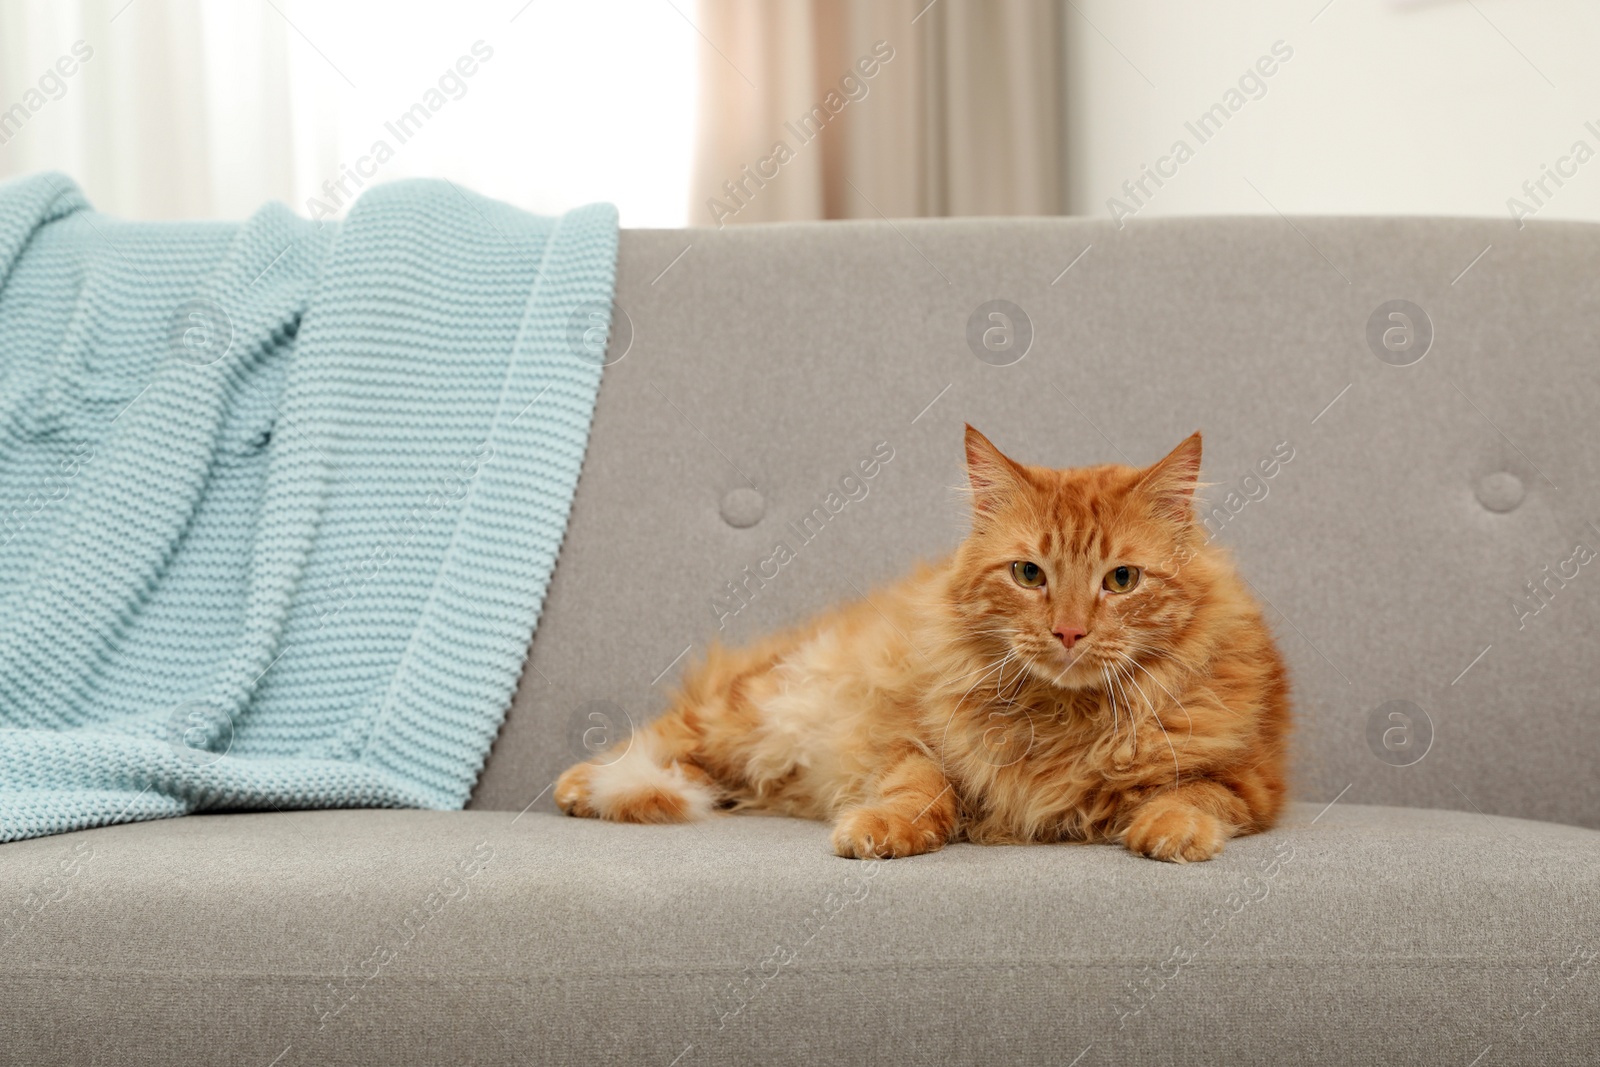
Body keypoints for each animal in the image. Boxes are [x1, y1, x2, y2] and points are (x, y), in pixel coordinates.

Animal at [556, 425, 1292, 857]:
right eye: (1029, 574)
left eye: (1122, 580)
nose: (1069, 630)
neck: (1063, 718)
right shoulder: (907, 737)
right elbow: (921, 788)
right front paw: (881, 828)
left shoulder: (1251, 783)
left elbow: (1191, 794)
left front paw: (1170, 830)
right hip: (752, 710)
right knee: (668, 733)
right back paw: (579, 785)